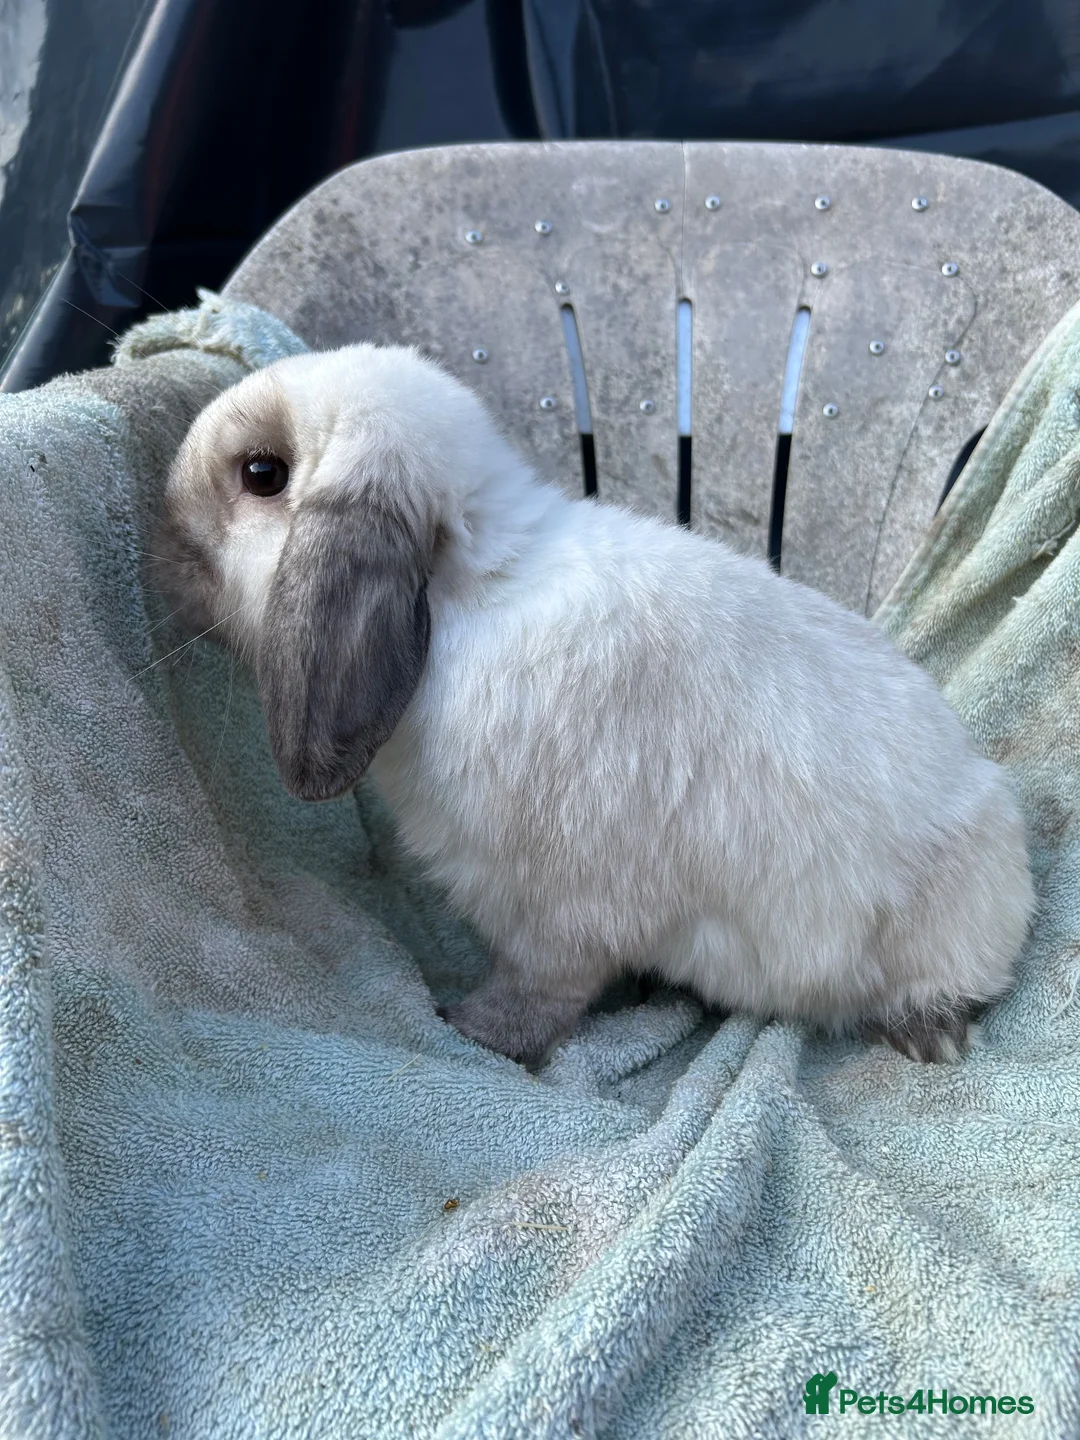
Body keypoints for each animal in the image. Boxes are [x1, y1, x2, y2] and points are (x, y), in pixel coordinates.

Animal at [154, 342, 1036, 1066]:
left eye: (261, 474)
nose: (160, 535)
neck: (466, 595)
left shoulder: (556, 915)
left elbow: (536, 994)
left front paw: (467, 1029)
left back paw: (927, 1033)